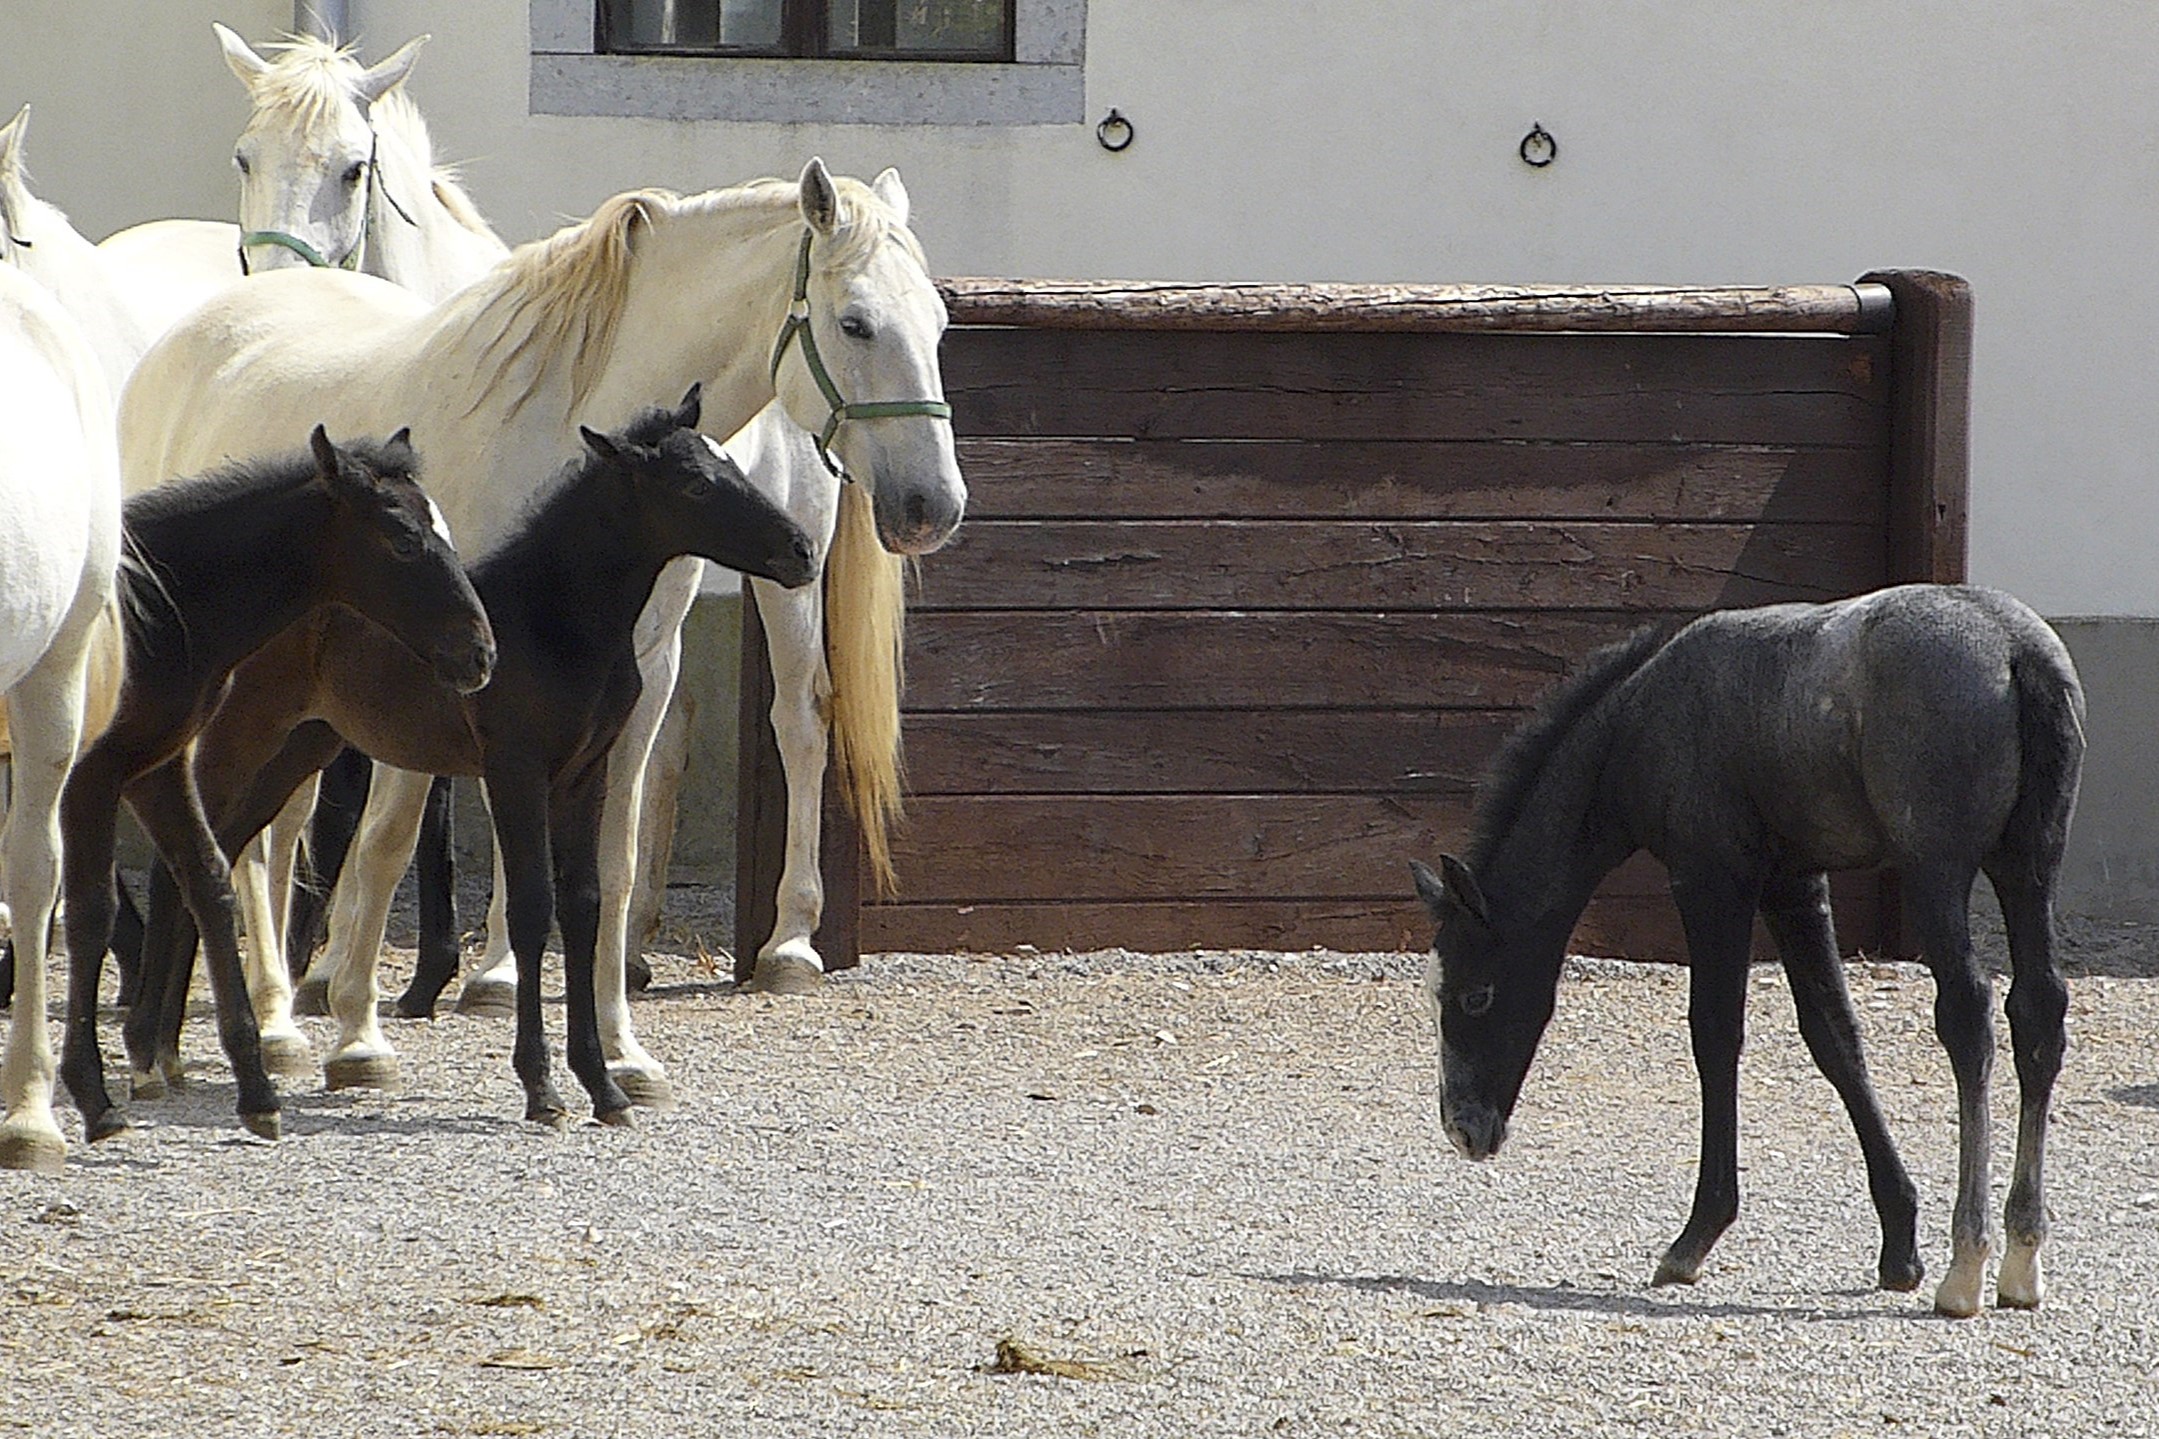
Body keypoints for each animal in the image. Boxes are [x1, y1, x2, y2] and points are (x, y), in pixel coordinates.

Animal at [57, 428, 495, 1144]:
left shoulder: (152, 764)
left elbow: (207, 879)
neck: (160, 607)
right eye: (402, 541)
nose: (481, 654)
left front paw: (254, 1088)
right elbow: (92, 911)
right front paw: (93, 1096)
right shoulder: (92, 773)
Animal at [126, 390, 815, 1125]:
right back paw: (151, 1052)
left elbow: (584, 904)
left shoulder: (583, 774)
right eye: (693, 484)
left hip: (300, 746)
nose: (802, 551)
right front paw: (542, 1088)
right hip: (243, 737)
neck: (555, 619)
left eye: (731, 465)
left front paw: (603, 1087)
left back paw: (168, 1049)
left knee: (215, 850)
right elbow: (532, 908)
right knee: (184, 863)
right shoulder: (515, 769)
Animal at [1409, 584, 2083, 1319]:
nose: (1462, 1129)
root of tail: (2015, 648)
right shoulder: (1794, 883)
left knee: (1967, 1016)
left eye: (1475, 995)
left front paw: (1695, 1235)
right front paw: (1899, 1242)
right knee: (2037, 1013)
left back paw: (1967, 1263)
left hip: (1935, 870)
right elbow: (1834, 1038)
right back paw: (2021, 1257)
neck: (1639, 719)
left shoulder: (1711, 878)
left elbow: (1713, 1034)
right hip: (2030, 865)